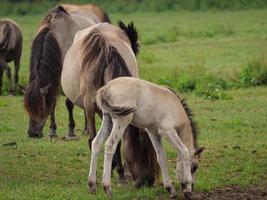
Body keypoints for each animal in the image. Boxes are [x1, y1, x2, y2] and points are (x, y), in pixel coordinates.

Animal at [23, 5, 108, 139]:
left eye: (41, 110)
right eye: (28, 109)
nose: (33, 134)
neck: (57, 37)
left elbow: (69, 103)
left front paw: (71, 130)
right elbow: (52, 102)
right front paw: (52, 131)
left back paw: (86, 129)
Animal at [61, 22, 159, 187]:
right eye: (144, 150)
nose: (149, 181)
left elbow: (116, 142)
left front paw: (120, 172)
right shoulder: (89, 108)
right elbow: (93, 139)